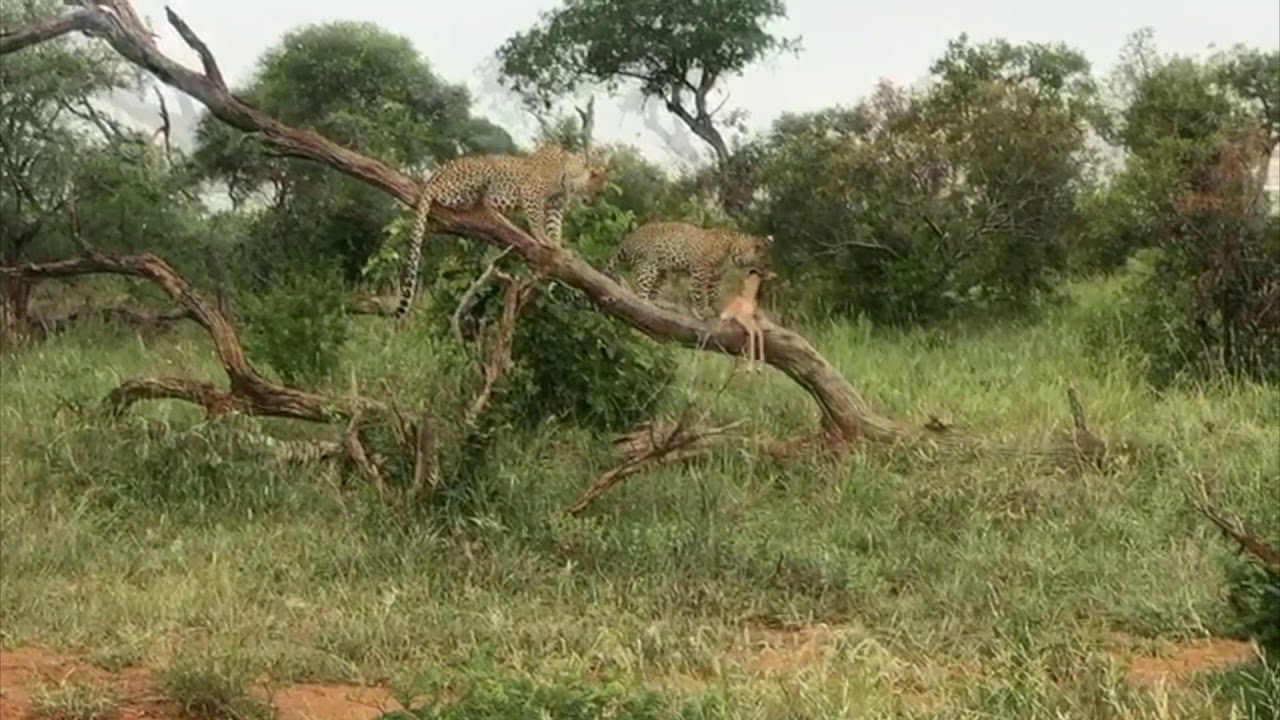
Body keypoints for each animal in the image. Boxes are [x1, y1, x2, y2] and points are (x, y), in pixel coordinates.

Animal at [394, 143, 608, 318]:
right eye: (597, 190)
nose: (593, 202)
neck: (568, 175)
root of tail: (436, 173)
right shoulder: (532, 193)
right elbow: (537, 222)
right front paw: (543, 239)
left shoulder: (555, 206)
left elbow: (554, 227)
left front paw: (558, 248)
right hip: (477, 172)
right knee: (438, 192)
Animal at [603, 220, 774, 318]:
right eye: (764, 262)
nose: (770, 272)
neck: (732, 250)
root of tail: (627, 239)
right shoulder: (702, 270)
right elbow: (698, 291)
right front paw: (700, 310)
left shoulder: (716, 277)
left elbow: (713, 294)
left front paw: (716, 309)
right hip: (648, 266)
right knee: (640, 294)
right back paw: (645, 305)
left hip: (663, 272)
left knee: (652, 292)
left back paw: (658, 305)